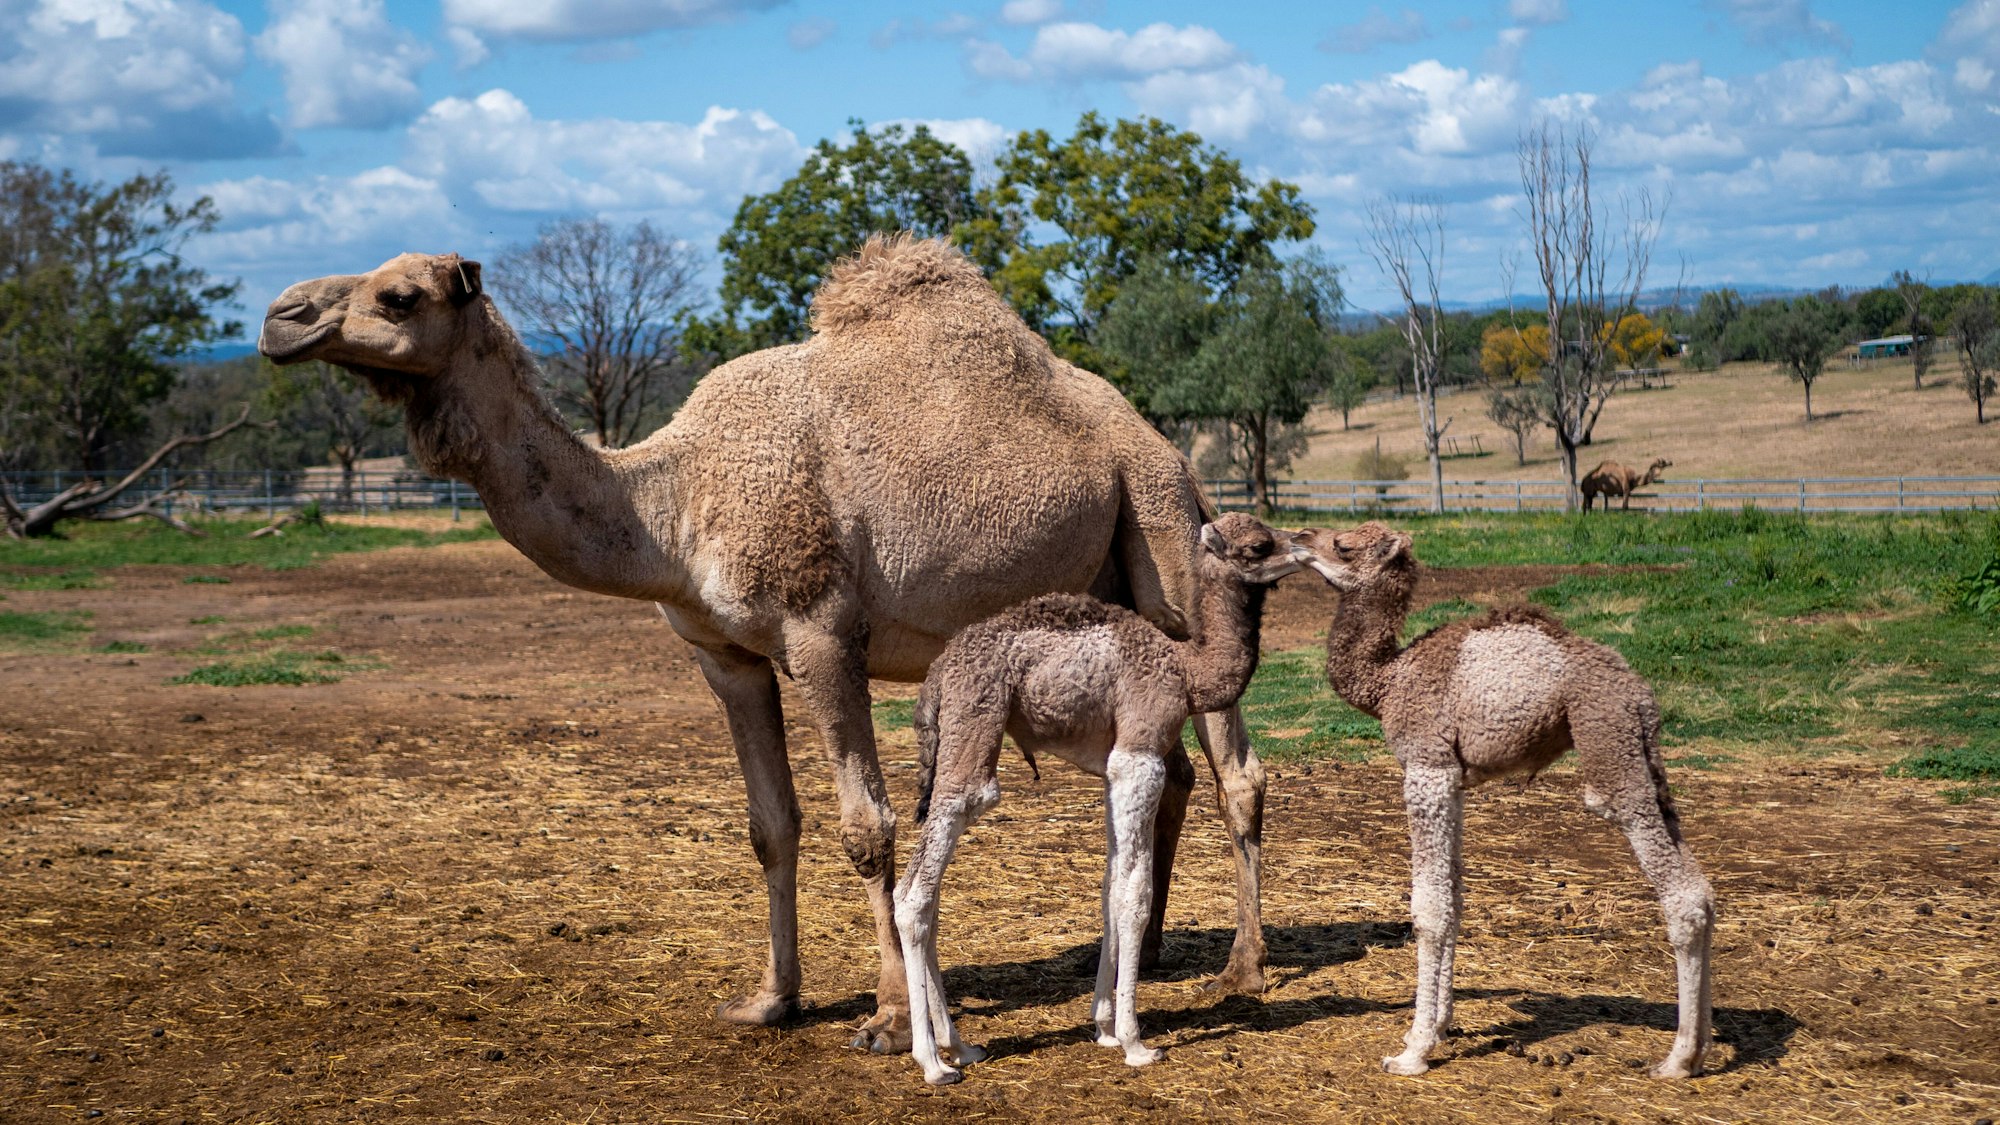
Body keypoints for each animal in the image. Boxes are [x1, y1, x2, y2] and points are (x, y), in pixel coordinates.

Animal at [255, 235, 1278, 1054]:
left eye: (399, 296)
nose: (279, 316)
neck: (673, 502)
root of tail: (1167, 449)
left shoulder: (822, 634)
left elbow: (866, 826)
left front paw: (886, 1018)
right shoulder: (725, 656)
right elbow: (768, 824)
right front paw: (770, 1000)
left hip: (1163, 536)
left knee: (1237, 769)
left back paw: (1242, 972)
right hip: (1117, 586)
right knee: (1173, 766)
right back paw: (1148, 950)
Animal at [894, 513, 1300, 1085]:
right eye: (1261, 545)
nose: (1304, 544)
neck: (1187, 672)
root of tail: (936, 677)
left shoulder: (1113, 768)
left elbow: (1110, 886)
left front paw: (1104, 1026)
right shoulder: (1140, 753)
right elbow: (1135, 893)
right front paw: (1134, 1041)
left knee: (928, 893)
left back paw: (961, 1045)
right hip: (974, 734)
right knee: (915, 892)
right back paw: (932, 1061)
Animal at [1288, 522, 1714, 1079]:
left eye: (1343, 546)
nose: (1298, 537)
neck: (1389, 679)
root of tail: (1639, 693)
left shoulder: (1426, 767)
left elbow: (1429, 909)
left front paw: (1414, 1051)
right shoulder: (1454, 781)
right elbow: (1454, 897)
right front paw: (1438, 1027)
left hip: (1609, 742)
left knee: (1677, 889)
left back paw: (1677, 1059)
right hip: (1644, 755)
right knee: (1700, 885)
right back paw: (1700, 1048)